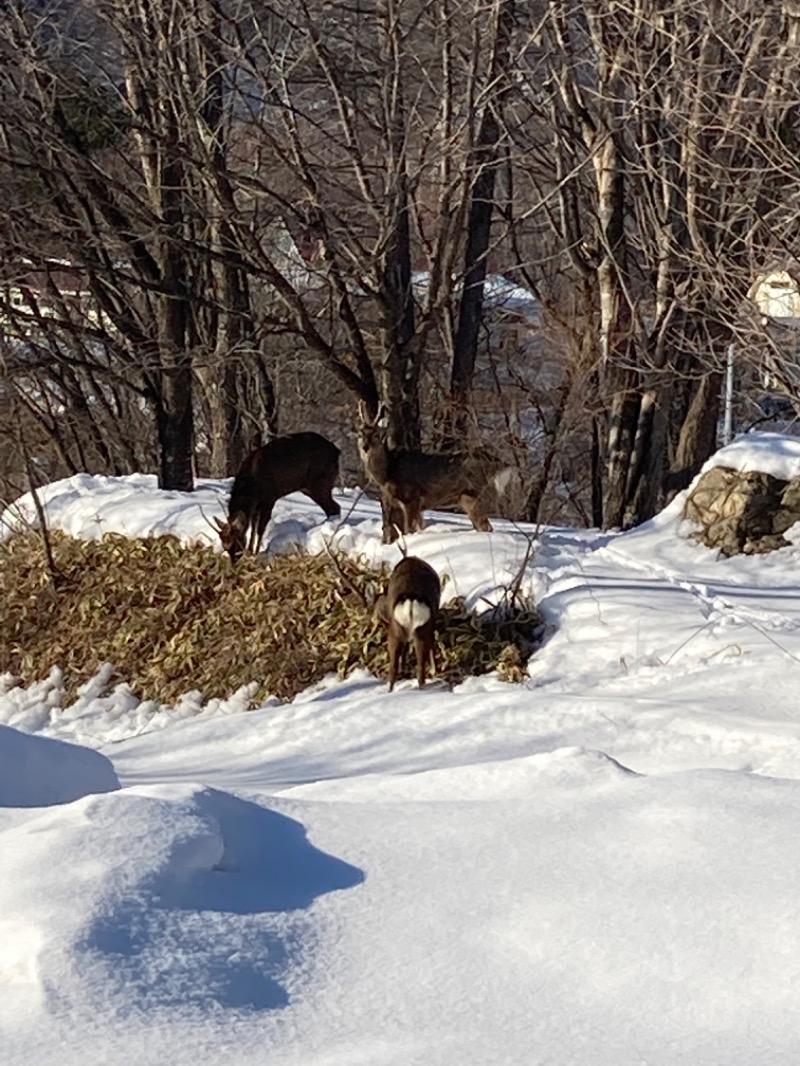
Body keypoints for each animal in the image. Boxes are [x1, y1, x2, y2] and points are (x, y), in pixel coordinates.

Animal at [213, 428, 341, 562]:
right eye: (225, 546)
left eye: (237, 542)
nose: (234, 562)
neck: (252, 486)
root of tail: (337, 451)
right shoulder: (257, 504)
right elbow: (252, 527)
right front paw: (250, 551)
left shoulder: (269, 498)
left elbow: (260, 528)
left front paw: (257, 553)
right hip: (310, 487)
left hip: (319, 482)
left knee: (334, 507)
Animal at [360, 402, 516, 545]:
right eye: (360, 434)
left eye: (376, 434)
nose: (365, 447)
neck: (388, 472)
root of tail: (500, 463)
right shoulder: (392, 501)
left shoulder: (412, 498)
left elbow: (408, 530)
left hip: (476, 496)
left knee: (486, 527)